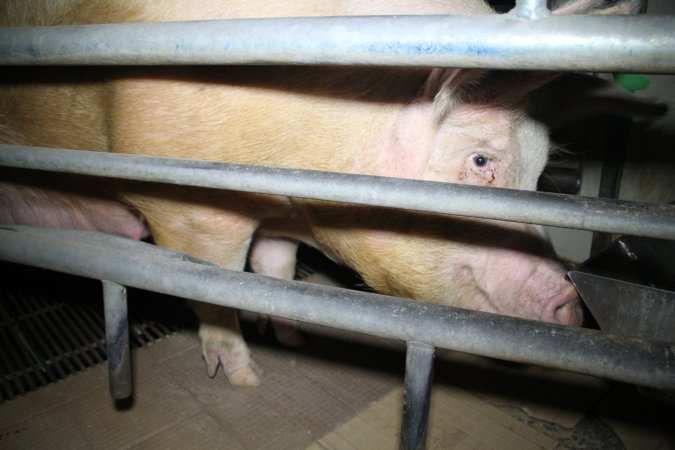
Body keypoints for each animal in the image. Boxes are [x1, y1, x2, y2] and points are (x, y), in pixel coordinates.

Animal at [0, 0, 644, 386]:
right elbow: (213, 288)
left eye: (538, 177)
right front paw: (246, 379)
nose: (571, 303)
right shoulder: (188, 209)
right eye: (482, 160)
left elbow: (276, 268)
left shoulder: (283, 214)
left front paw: (294, 334)